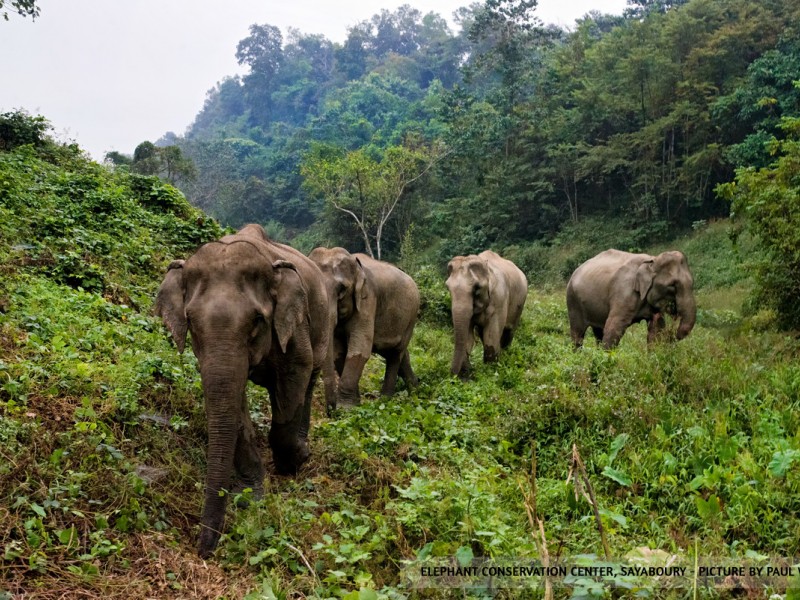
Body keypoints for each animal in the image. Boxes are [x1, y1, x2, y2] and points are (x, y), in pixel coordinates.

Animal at [153, 225, 328, 556]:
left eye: (258, 319)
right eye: (190, 321)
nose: (203, 551)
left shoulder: (294, 326)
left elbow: (295, 373)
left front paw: (293, 463)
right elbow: (234, 399)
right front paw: (250, 496)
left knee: (311, 378)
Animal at [306, 246, 418, 410]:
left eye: (342, 289)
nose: (331, 410)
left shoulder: (368, 300)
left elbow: (360, 347)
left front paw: (346, 408)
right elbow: (338, 351)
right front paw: (355, 404)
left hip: (411, 318)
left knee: (395, 354)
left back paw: (386, 399)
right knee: (399, 353)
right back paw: (415, 388)